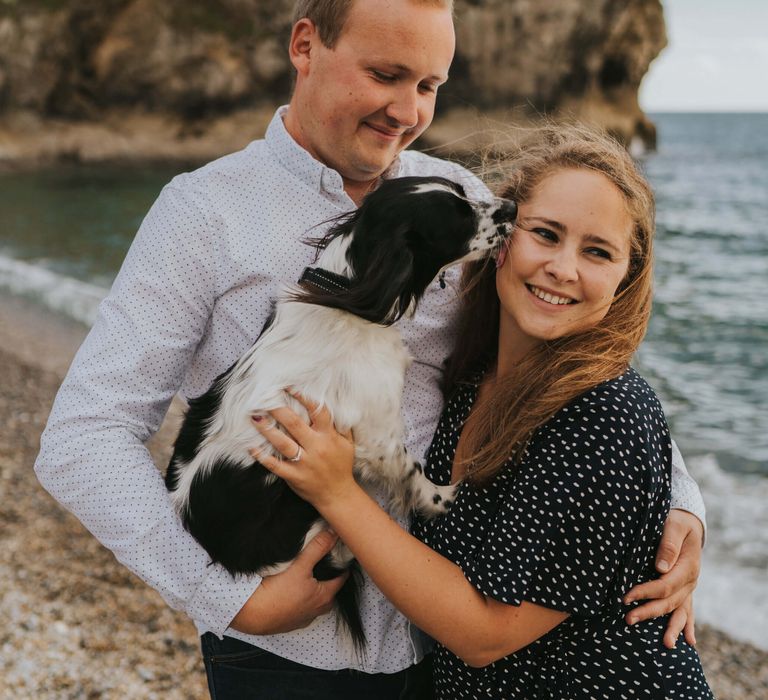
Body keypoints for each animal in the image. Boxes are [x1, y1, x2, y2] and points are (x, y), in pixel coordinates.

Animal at [166, 174, 520, 652]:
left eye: (464, 193)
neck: (348, 300)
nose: (513, 208)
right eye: (459, 215)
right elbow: (413, 472)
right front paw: (444, 498)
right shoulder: (378, 432)